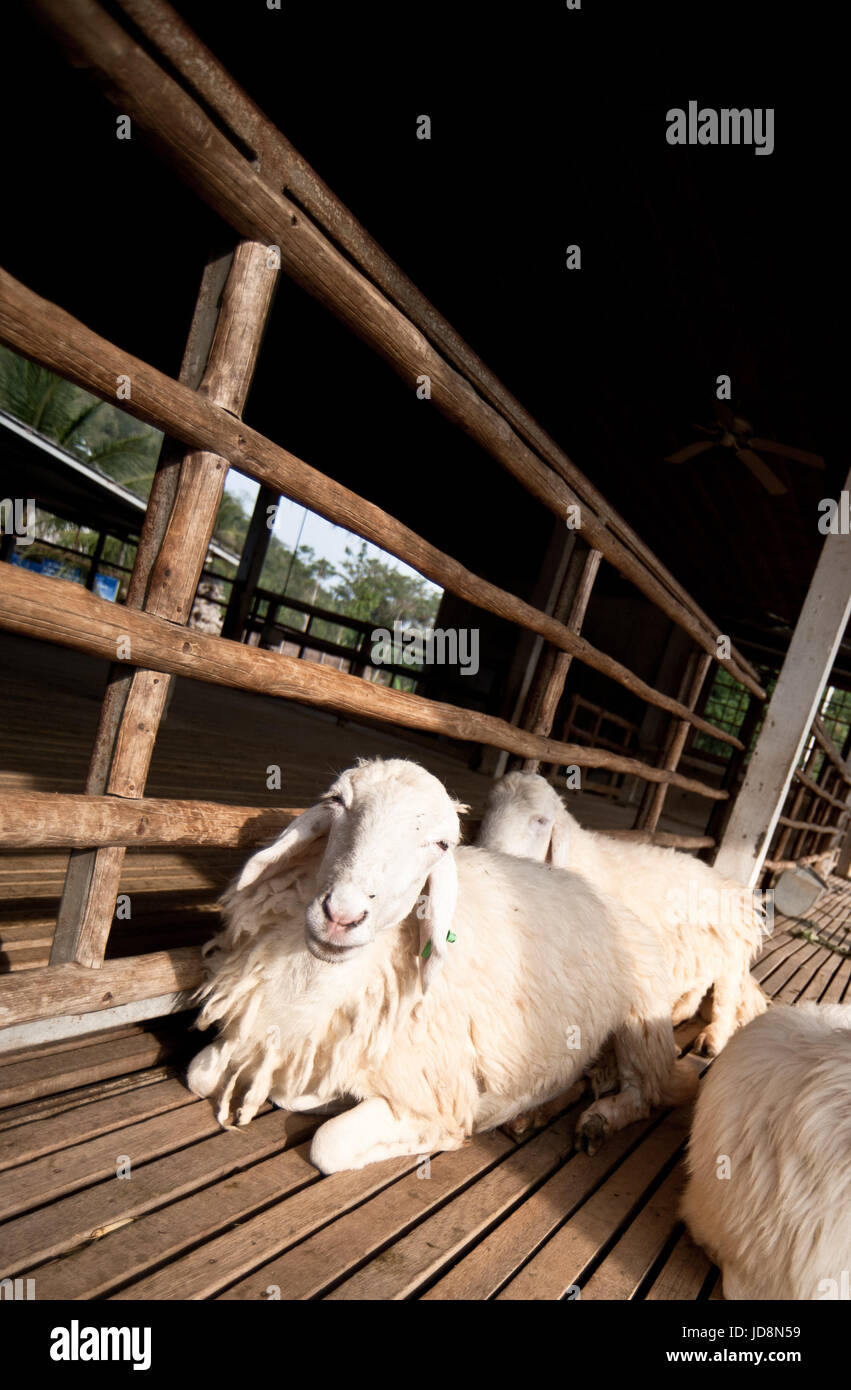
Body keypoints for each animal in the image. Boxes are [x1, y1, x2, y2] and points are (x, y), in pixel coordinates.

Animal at [187, 761, 698, 1173]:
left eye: (440, 844)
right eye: (336, 801)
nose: (342, 916)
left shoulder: (432, 1089)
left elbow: (329, 1144)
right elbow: (201, 1071)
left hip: (640, 1020)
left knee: (643, 1093)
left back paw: (596, 1122)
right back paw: (537, 1109)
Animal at [478, 772, 762, 1050]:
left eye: (541, 820)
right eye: (487, 808)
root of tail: (731, 884)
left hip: (732, 955)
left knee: (726, 997)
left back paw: (713, 1038)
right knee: (702, 980)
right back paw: (680, 1012)